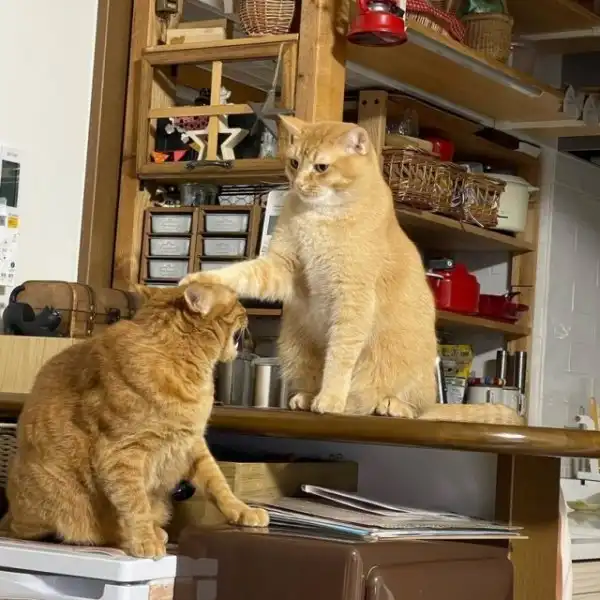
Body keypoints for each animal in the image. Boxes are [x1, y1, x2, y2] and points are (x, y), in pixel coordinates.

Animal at [1, 282, 269, 558]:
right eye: (236, 301)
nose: (247, 310)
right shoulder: (121, 453)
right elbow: (134, 503)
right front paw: (144, 539)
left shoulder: (192, 444)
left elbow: (218, 483)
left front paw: (243, 511)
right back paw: (145, 534)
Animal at [181, 116, 523, 426]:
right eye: (294, 162)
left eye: (320, 167)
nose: (298, 184)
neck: (319, 216)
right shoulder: (283, 267)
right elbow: (242, 272)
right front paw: (198, 279)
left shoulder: (352, 298)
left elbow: (339, 359)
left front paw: (331, 400)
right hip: (292, 347)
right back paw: (308, 397)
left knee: (410, 408)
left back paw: (383, 405)